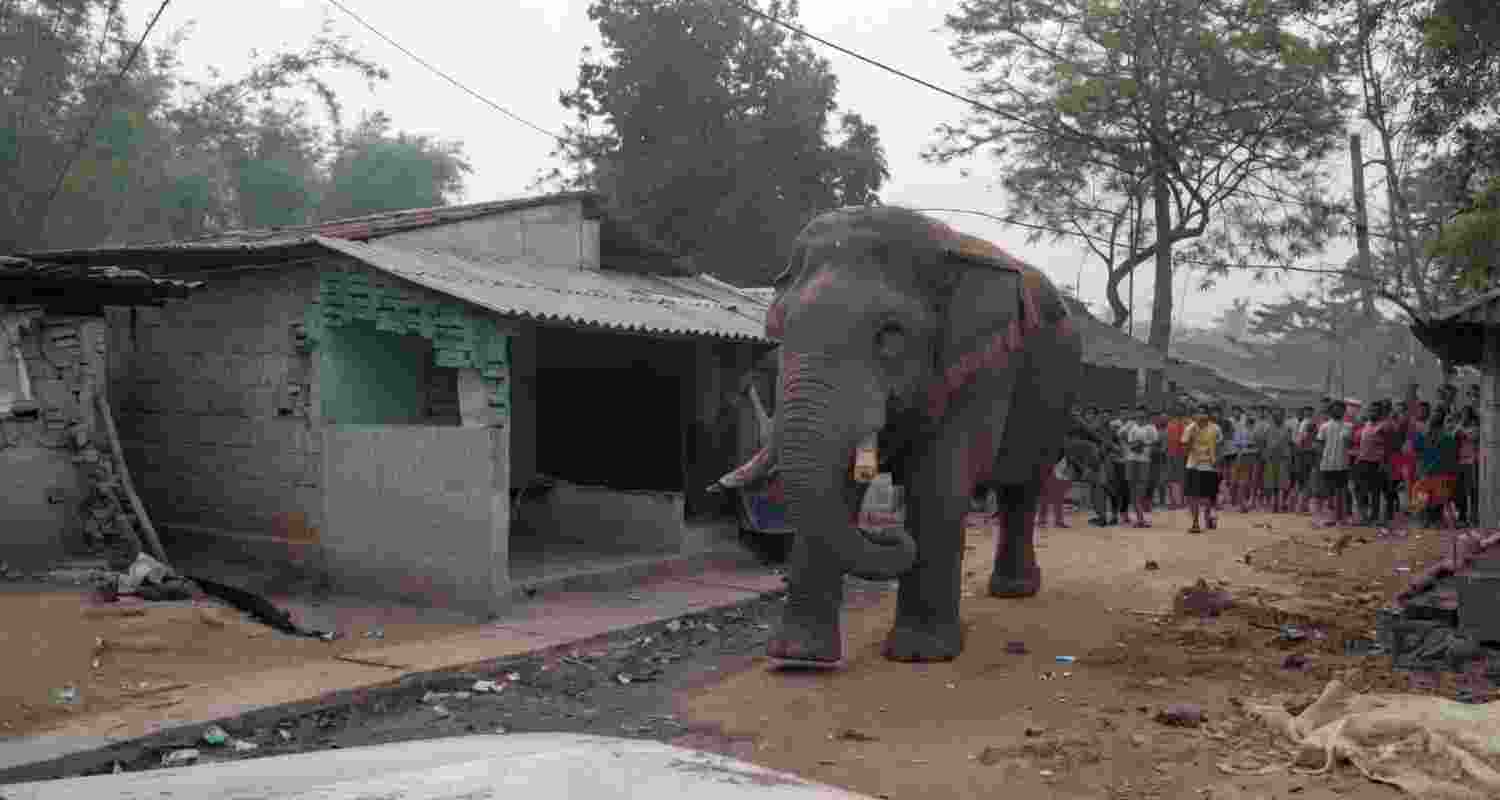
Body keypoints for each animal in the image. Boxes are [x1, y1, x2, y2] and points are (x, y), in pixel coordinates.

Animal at [715, 205, 1083, 668]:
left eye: (890, 335)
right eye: (780, 331)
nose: (885, 531)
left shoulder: (985, 365)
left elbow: (939, 482)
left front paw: (921, 656)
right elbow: (838, 487)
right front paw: (799, 658)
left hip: (1055, 394)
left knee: (1022, 488)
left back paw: (1014, 591)